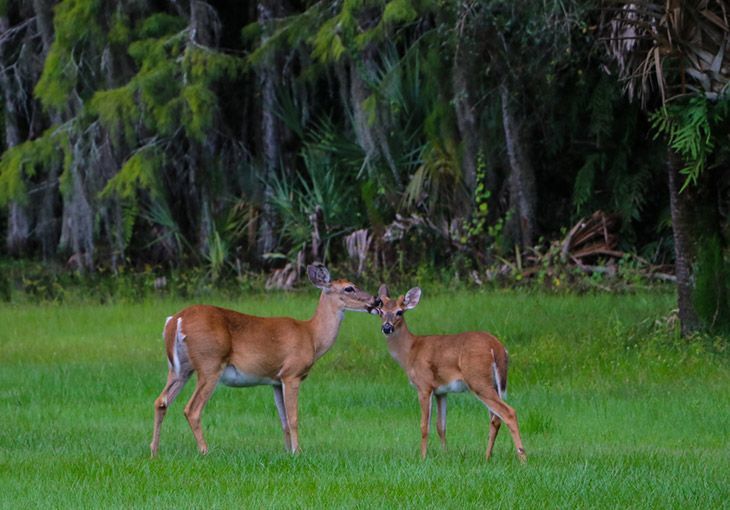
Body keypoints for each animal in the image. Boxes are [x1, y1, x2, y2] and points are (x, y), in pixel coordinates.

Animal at [148, 264, 376, 456]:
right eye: (349, 288)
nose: (376, 301)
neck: (312, 336)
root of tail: (176, 320)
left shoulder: (275, 380)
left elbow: (283, 420)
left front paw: (287, 452)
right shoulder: (292, 373)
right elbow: (293, 418)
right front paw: (298, 452)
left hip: (180, 368)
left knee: (161, 401)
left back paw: (154, 452)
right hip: (210, 363)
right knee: (192, 409)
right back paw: (205, 451)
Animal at [370, 286, 524, 462]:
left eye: (399, 312)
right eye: (381, 311)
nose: (386, 328)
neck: (410, 352)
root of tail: (497, 347)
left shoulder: (424, 385)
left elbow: (424, 425)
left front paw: (423, 457)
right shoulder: (441, 391)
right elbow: (441, 426)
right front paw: (446, 455)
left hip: (478, 379)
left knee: (508, 412)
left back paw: (522, 457)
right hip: (494, 383)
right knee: (495, 418)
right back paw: (487, 457)